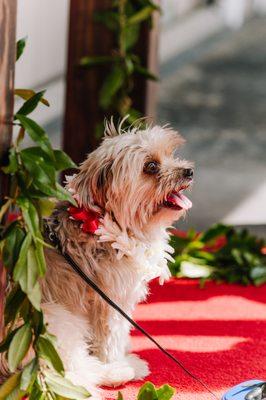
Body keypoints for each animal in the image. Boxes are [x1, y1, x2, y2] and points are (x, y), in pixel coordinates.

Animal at [38, 122, 193, 396]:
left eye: (171, 154)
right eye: (151, 166)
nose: (189, 171)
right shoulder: (109, 301)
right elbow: (111, 338)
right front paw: (117, 360)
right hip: (55, 318)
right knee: (72, 375)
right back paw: (117, 371)